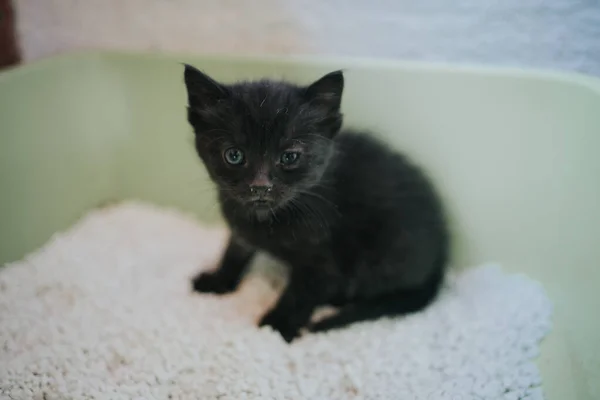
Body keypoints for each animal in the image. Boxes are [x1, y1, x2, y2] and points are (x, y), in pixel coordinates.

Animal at [185, 64, 448, 342]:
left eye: (289, 157)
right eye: (234, 155)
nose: (260, 186)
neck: (267, 218)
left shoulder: (323, 260)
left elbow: (302, 291)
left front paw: (278, 325)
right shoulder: (240, 229)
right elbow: (233, 252)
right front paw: (218, 280)